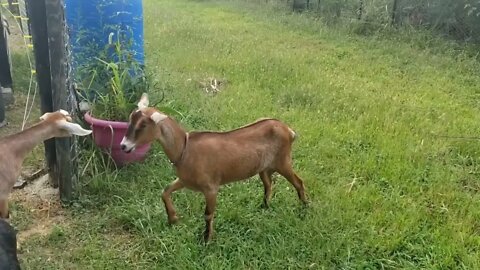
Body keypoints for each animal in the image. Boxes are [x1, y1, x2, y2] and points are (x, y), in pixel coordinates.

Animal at [121, 94, 308, 242]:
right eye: (130, 119)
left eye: (142, 125)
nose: (124, 146)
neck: (185, 149)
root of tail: (288, 130)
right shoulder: (184, 180)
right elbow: (165, 191)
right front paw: (173, 219)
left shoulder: (211, 188)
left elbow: (208, 214)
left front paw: (207, 239)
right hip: (264, 168)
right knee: (268, 184)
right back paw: (265, 207)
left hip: (283, 161)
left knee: (298, 182)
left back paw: (304, 208)